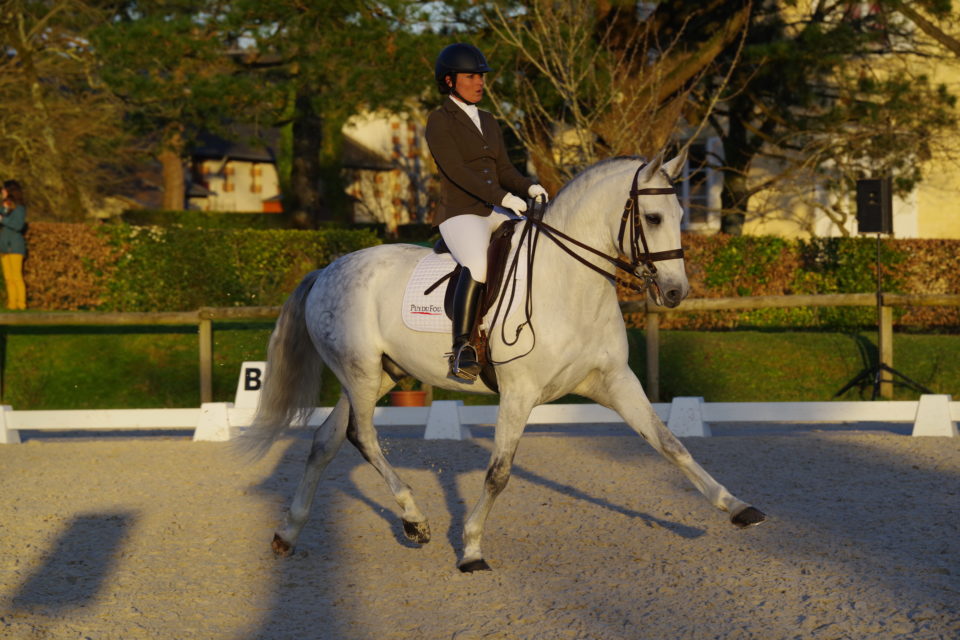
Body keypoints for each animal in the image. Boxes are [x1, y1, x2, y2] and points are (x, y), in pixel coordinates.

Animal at [240, 152, 764, 572]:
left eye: (681, 214)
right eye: (653, 217)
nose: (676, 292)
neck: (570, 285)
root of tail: (328, 269)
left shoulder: (615, 382)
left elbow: (671, 444)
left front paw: (737, 507)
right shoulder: (519, 393)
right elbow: (498, 473)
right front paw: (471, 549)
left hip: (378, 377)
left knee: (325, 440)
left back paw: (288, 533)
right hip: (361, 373)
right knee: (361, 435)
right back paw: (414, 520)